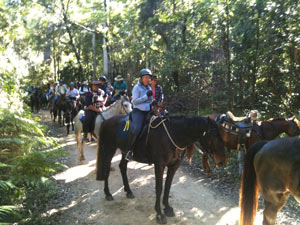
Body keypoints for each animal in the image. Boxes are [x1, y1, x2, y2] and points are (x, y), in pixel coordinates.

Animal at [96, 115, 225, 224]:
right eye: (213, 134)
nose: (222, 162)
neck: (174, 134)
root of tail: (107, 121)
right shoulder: (159, 165)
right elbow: (159, 188)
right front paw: (159, 213)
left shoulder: (173, 166)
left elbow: (167, 186)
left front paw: (167, 208)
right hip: (109, 150)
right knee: (106, 170)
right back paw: (108, 194)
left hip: (124, 152)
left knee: (122, 167)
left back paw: (128, 191)